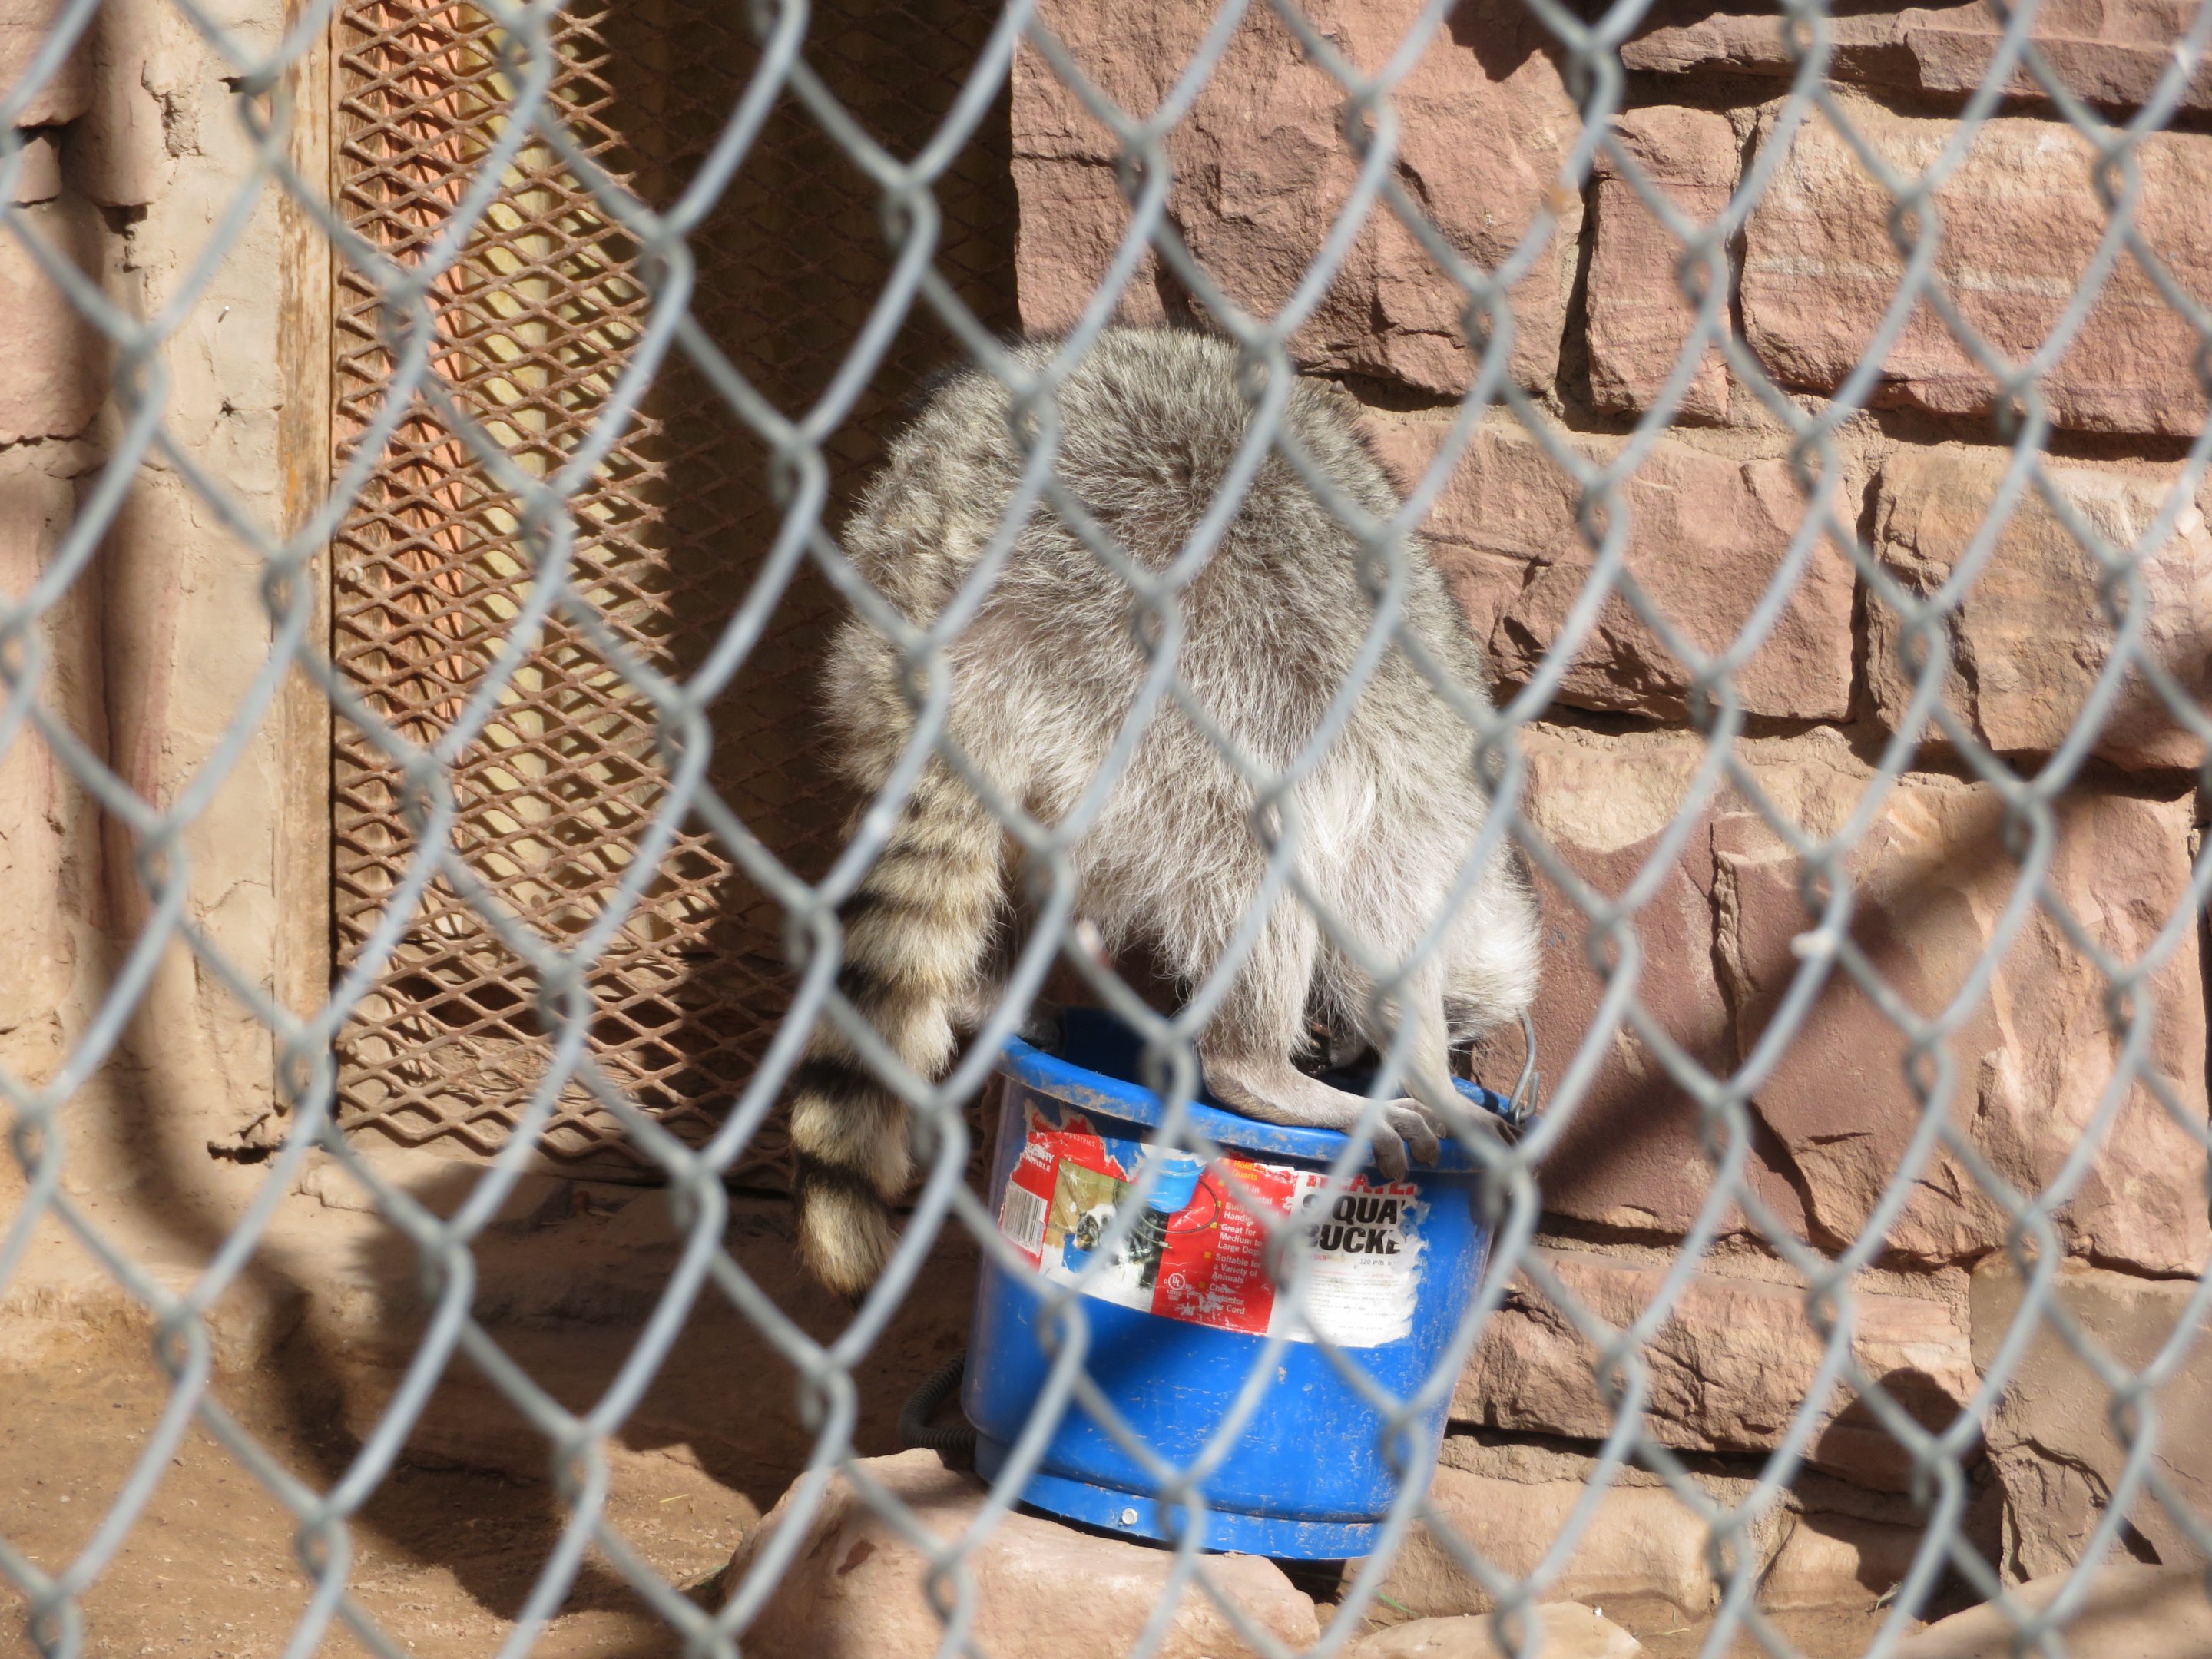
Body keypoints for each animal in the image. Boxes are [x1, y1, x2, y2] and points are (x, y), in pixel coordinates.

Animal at [790, 328, 1540, 1297]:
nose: (1332, 1055)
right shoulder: (1413, 815)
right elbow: (1377, 928)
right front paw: (1429, 1076)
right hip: (1164, 665)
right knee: (1254, 840)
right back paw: (1249, 1061)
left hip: (918, 637)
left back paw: (987, 991)